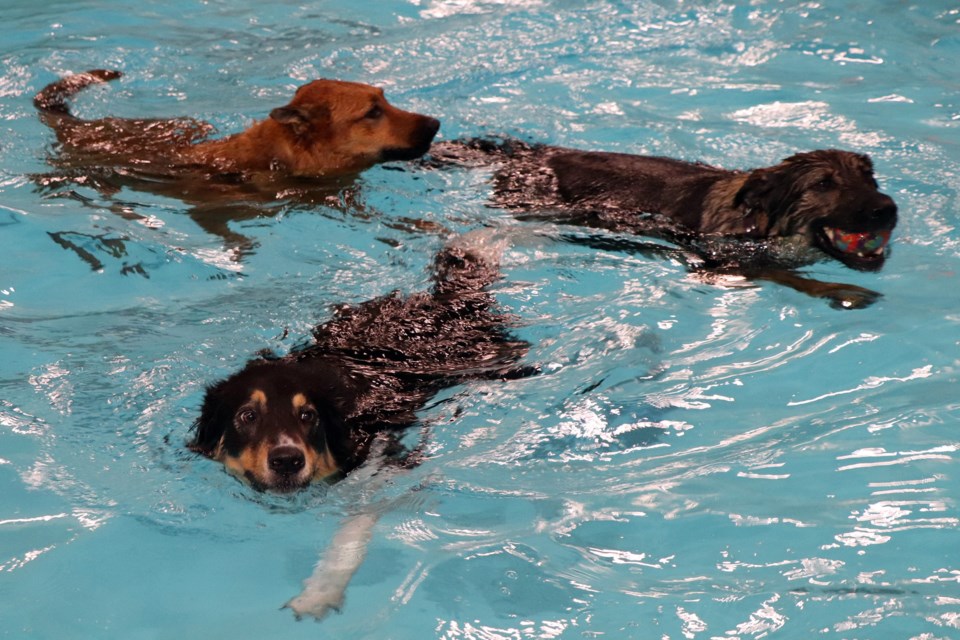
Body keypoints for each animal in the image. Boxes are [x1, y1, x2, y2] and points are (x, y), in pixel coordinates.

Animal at [432, 140, 896, 310]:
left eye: (869, 178)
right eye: (823, 184)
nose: (887, 209)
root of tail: (532, 152)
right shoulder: (721, 261)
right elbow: (786, 276)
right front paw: (839, 290)